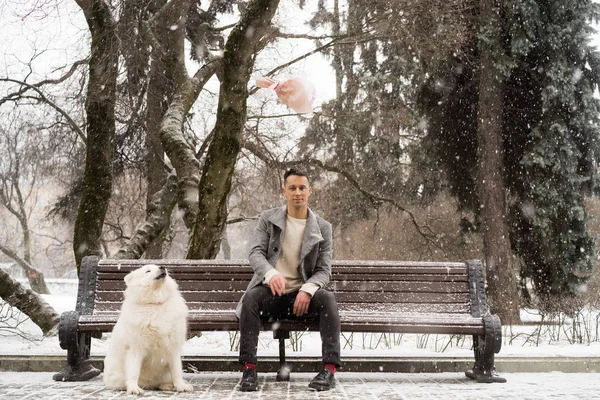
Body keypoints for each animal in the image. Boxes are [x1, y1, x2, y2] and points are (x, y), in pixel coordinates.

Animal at [102, 264, 192, 396]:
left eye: (157, 266)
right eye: (147, 271)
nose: (162, 267)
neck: (155, 304)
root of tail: (150, 384)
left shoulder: (173, 348)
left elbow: (177, 370)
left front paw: (181, 386)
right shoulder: (135, 348)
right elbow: (133, 372)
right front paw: (134, 388)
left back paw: (167, 385)